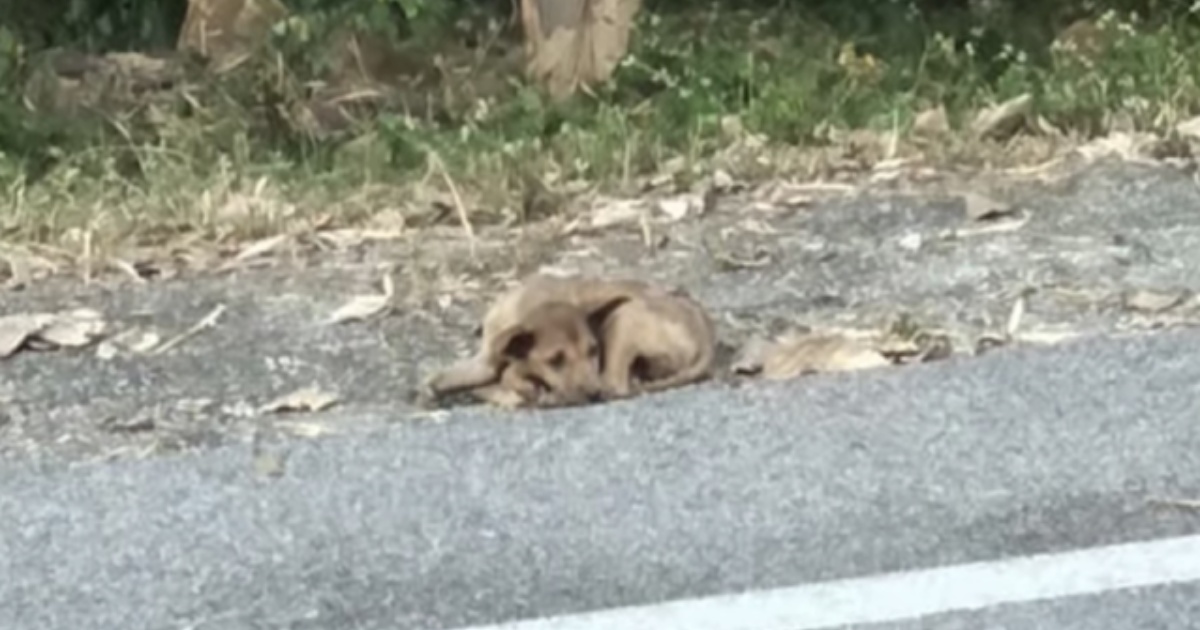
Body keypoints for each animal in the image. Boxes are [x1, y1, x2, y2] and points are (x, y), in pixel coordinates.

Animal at [420, 274, 648, 408]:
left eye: (593, 351)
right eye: (555, 360)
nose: (594, 394)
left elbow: (510, 375)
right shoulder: (486, 360)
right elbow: (449, 376)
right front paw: (431, 388)